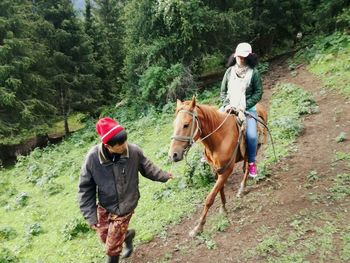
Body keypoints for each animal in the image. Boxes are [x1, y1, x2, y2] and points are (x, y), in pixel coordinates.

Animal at [168, 96, 266, 237]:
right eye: (174, 124)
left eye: (186, 124)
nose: (173, 155)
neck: (220, 138)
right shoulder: (216, 169)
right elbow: (220, 190)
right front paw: (223, 208)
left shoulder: (227, 170)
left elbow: (210, 198)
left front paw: (198, 227)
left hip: (255, 147)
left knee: (249, 166)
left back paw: (242, 188)